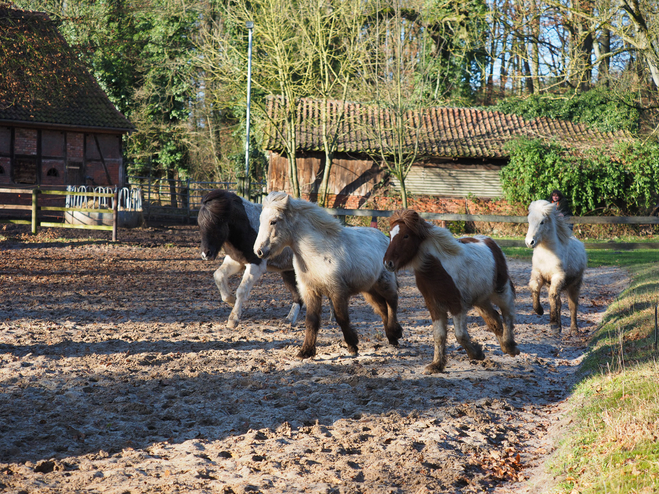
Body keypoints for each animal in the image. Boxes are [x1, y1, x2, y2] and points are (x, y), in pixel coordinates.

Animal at [197, 189, 302, 328]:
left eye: (217, 223)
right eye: (200, 225)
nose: (205, 254)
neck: (247, 227)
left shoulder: (255, 265)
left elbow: (241, 291)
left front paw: (233, 319)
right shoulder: (236, 261)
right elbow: (218, 276)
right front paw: (231, 300)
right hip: (288, 271)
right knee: (298, 297)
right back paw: (289, 319)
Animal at [255, 191, 404, 356]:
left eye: (273, 221)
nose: (259, 251)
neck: (318, 252)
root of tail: (385, 238)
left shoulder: (337, 291)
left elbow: (341, 318)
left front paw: (353, 345)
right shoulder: (310, 291)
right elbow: (311, 320)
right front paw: (306, 351)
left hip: (384, 283)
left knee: (392, 303)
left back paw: (396, 332)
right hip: (369, 290)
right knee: (382, 309)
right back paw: (392, 338)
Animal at [382, 208, 520, 374]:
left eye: (406, 236)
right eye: (390, 235)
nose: (388, 263)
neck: (436, 268)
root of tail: (490, 242)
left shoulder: (456, 304)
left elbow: (460, 335)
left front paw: (477, 354)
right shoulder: (434, 305)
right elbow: (439, 335)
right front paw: (436, 365)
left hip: (501, 290)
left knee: (507, 314)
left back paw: (510, 347)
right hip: (481, 300)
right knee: (494, 320)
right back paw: (505, 345)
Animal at [524, 199, 588, 334]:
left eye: (542, 222)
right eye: (529, 220)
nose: (529, 242)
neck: (547, 255)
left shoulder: (558, 277)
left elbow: (553, 297)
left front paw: (553, 324)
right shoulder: (538, 274)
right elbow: (535, 289)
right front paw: (539, 310)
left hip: (575, 284)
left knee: (572, 305)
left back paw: (574, 329)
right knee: (558, 302)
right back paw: (559, 326)